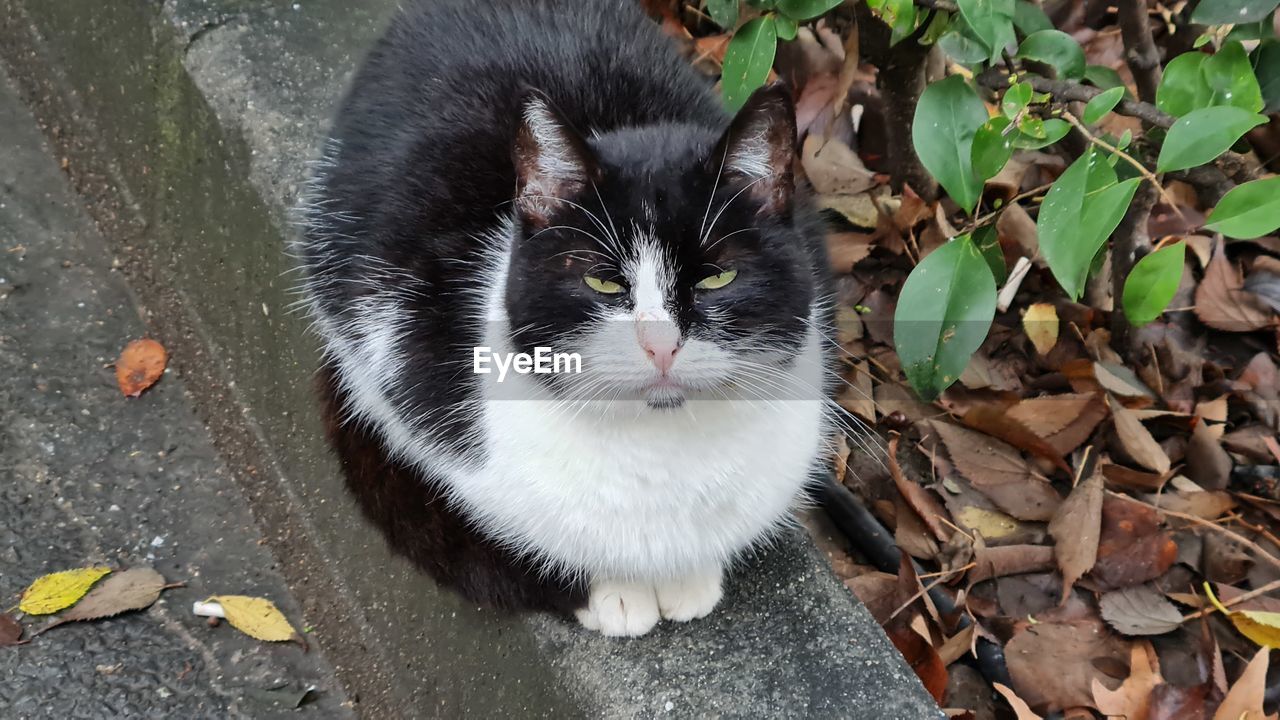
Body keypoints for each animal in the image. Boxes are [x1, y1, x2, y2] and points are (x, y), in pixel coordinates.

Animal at [299, 0, 839, 632]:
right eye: (602, 280)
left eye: (716, 278)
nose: (660, 345)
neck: (662, 455)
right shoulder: (402, 357)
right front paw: (615, 592)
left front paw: (689, 577)